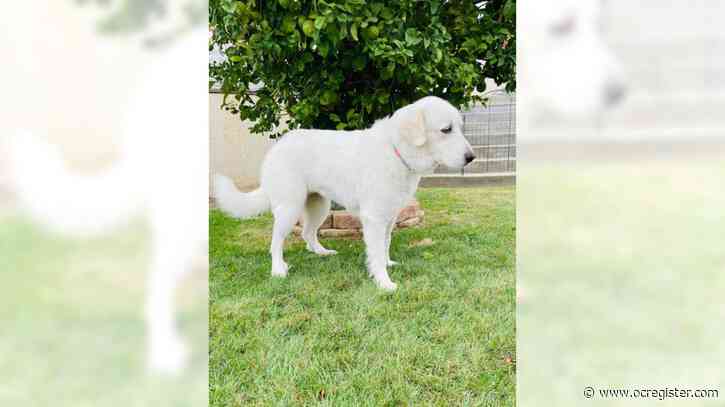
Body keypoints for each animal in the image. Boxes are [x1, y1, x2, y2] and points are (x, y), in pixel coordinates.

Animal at [214, 97, 476, 292]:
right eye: (446, 130)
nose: (471, 158)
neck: (397, 151)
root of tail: (278, 146)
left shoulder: (390, 217)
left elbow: (385, 245)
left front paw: (388, 263)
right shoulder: (374, 218)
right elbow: (376, 253)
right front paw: (384, 282)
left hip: (320, 206)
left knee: (308, 234)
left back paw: (322, 253)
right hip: (290, 208)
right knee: (276, 242)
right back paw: (278, 270)